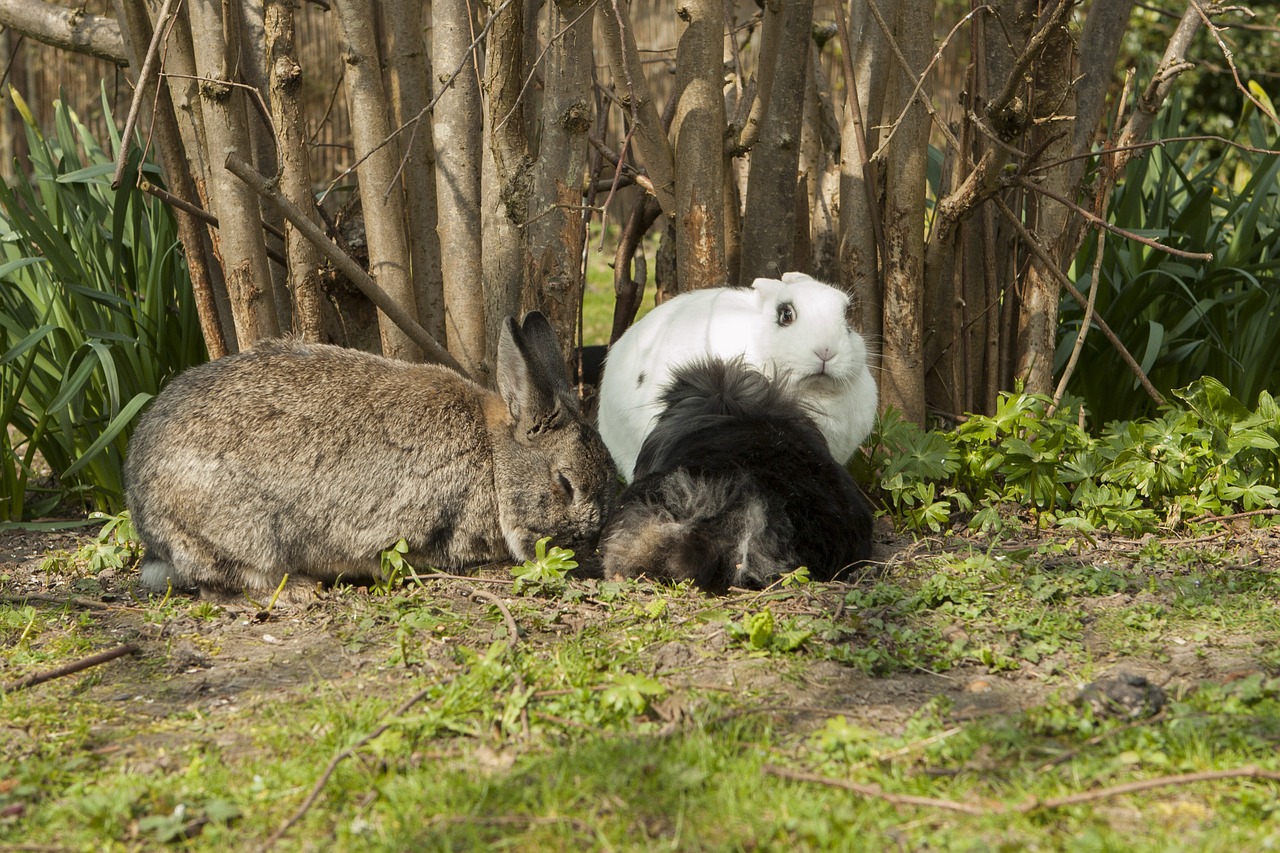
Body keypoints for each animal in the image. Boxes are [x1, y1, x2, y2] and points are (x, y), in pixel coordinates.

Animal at [123, 311, 614, 596]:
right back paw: (300, 589)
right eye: (565, 483)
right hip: (242, 531)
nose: (581, 546)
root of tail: (145, 512)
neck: (494, 462)